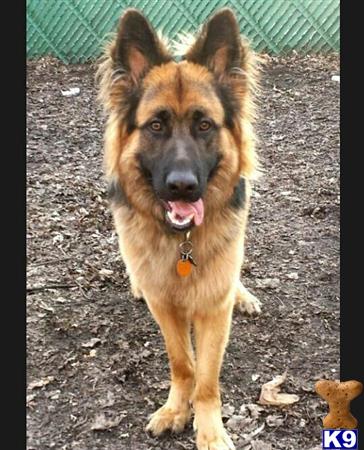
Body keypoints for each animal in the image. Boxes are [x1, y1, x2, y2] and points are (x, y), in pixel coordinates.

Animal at [96, 7, 262, 450]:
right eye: (156, 126)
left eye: (204, 125)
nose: (183, 186)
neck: (181, 242)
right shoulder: (165, 307)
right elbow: (182, 363)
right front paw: (176, 409)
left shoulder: (213, 310)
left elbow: (206, 378)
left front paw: (209, 429)